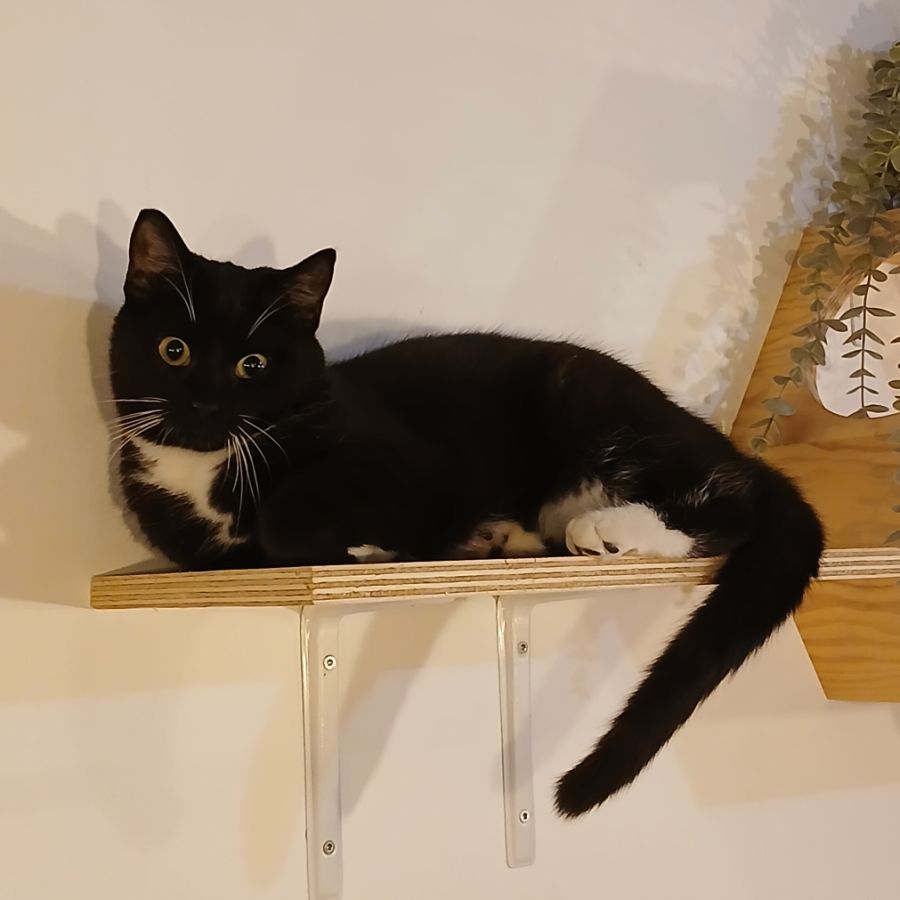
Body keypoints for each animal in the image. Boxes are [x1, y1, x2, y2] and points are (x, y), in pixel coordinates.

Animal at [109, 209, 824, 817]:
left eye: (252, 365)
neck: (210, 467)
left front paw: (363, 544)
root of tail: (713, 436)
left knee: (734, 501)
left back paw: (608, 529)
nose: (204, 405)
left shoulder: (422, 467)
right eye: (173, 350)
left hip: (593, 405)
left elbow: (286, 518)